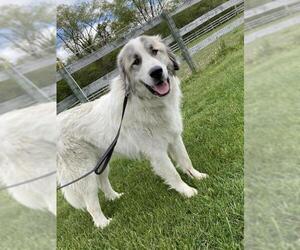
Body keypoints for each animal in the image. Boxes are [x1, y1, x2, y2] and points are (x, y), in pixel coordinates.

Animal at [57, 35, 207, 229]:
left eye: (154, 51)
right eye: (136, 62)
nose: (156, 72)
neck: (146, 100)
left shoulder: (174, 138)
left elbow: (186, 161)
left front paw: (197, 176)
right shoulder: (156, 151)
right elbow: (173, 173)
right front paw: (187, 191)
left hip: (101, 162)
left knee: (103, 182)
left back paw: (114, 197)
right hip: (83, 172)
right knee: (91, 202)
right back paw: (103, 223)